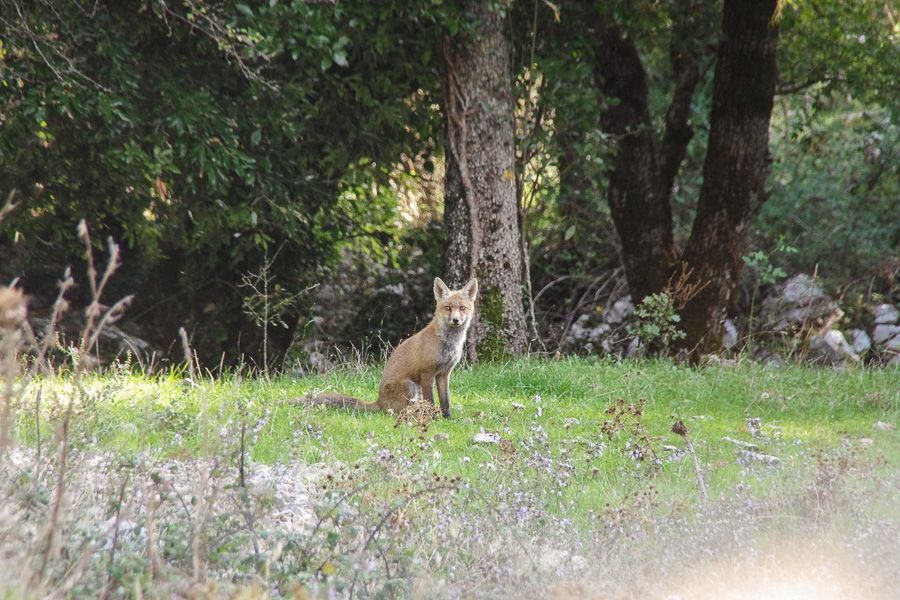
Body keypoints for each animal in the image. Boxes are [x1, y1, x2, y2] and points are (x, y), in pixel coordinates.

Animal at [302, 276, 478, 418]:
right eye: (448, 308)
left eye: (462, 308)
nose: (456, 320)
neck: (448, 342)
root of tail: (379, 401)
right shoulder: (427, 372)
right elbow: (431, 401)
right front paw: (433, 418)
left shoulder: (443, 374)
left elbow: (445, 401)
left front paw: (448, 418)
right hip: (410, 385)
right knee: (397, 411)